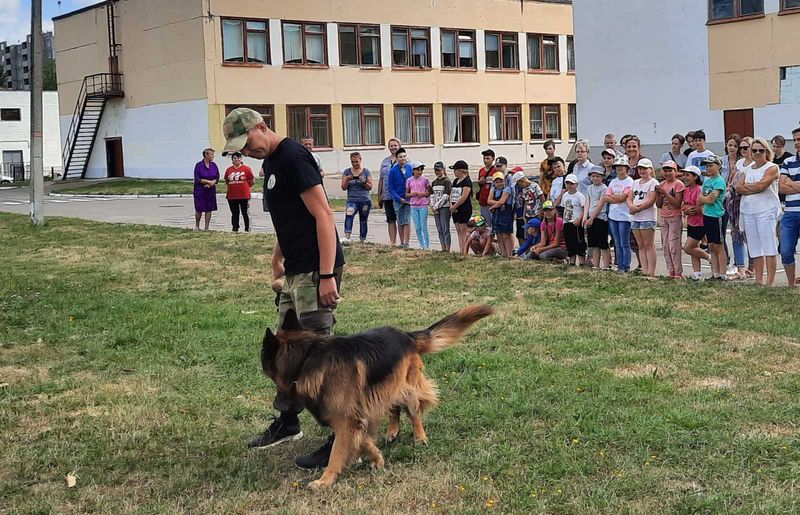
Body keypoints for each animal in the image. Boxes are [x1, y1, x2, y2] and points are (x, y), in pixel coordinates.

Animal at [260, 304, 494, 490]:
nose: (278, 404)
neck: (306, 358)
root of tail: (407, 335)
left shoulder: (347, 419)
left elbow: (337, 453)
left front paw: (325, 480)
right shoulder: (356, 416)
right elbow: (363, 440)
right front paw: (378, 459)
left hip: (406, 387)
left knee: (414, 410)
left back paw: (419, 436)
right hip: (387, 387)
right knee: (394, 409)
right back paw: (392, 432)